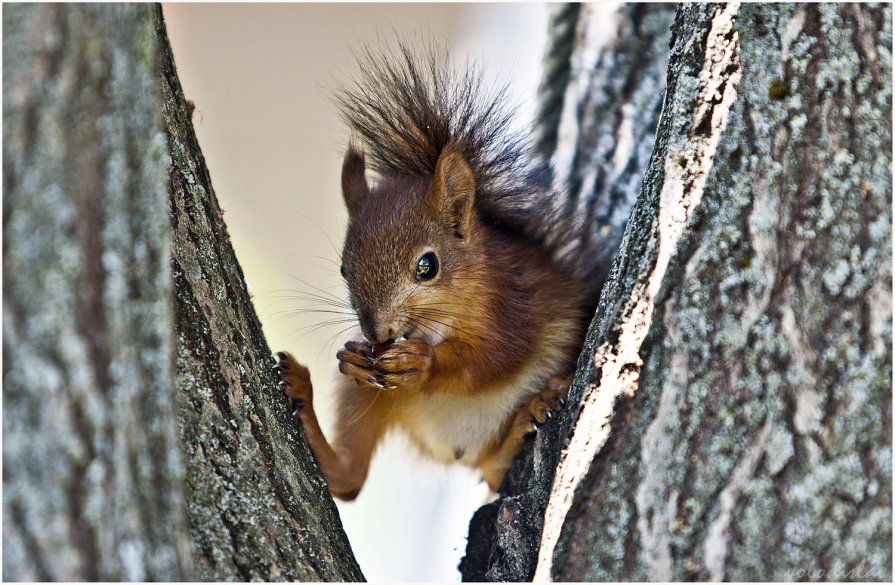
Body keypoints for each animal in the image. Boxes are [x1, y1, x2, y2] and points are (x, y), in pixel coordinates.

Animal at [276, 46, 604, 502]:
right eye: (343, 268)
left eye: (427, 266)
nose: (375, 333)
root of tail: (455, 448)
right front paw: (352, 355)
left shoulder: (513, 304)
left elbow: (494, 358)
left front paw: (423, 362)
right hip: (377, 402)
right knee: (349, 479)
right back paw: (303, 394)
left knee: (493, 471)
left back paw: (534, 409)